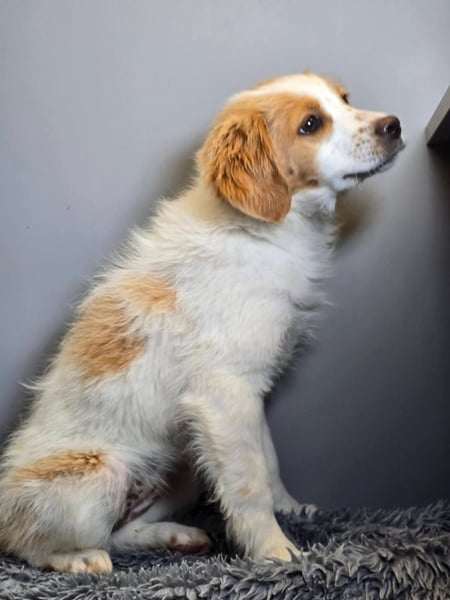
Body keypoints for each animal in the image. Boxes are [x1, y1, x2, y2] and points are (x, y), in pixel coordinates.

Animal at [0, 72, 404, 573]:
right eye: (310, 124)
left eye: (346, 100)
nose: (394, 125)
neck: (264, 234)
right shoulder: (224, 392)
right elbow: (250, 485)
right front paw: (276, 551)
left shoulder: (249, 395)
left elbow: (268, 460)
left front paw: (291, 508)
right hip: (101, 474)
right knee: (31, 543)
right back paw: (80, 560)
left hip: (186, 466)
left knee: (122, 532)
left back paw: (178, 536)